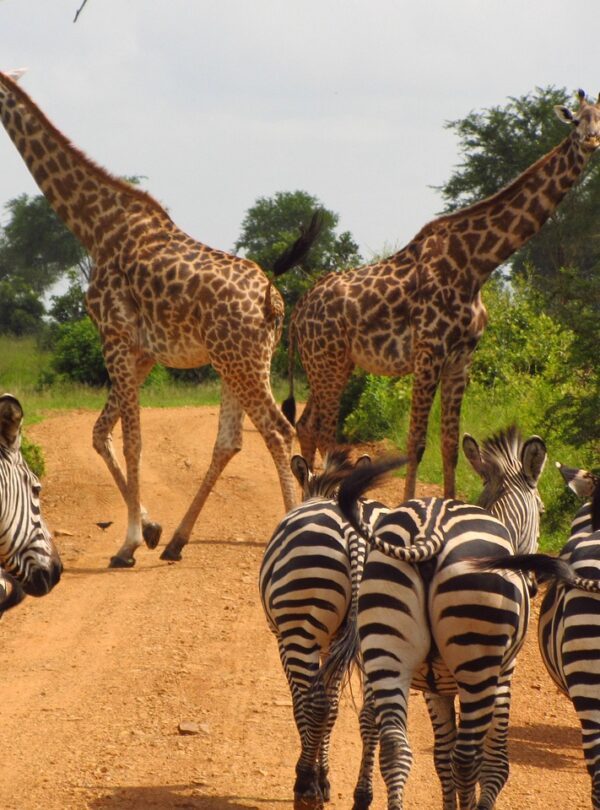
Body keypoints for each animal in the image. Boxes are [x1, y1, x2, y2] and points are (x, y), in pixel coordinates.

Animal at [259, 449, 389, 810]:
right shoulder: (334, 644)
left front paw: (315, 778)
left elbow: (303, 706)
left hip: (300, 627)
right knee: (371, 713)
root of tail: (355, 533)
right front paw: (326, 777)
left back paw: (303, 786)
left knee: (314, 705)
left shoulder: (284, 640)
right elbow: (333, 708)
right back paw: (362, 797)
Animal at [332, 426, 546, 810]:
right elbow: (493, 763)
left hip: (388, 649)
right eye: (542, 509)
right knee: (466, 757)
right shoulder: (504, 673)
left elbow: (440, 757)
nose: (534, 586)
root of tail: (431, 529)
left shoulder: (435, 687)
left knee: (396, 748)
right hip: (477, 662)